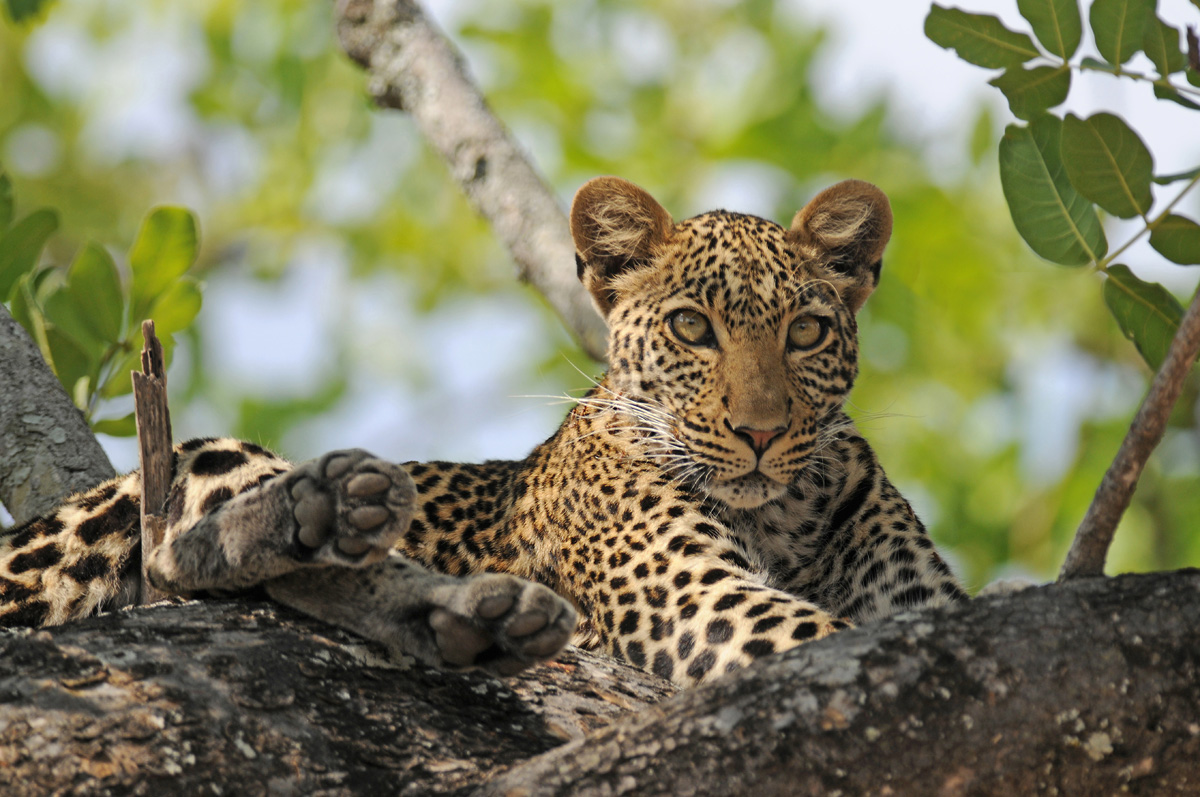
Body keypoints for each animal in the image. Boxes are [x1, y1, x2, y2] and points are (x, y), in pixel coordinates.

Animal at [0, 176, 967, 686]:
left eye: (806, 332)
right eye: (694, 328)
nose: (761, 431)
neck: (782, 516)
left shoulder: (919, 604)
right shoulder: (700, 601)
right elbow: (826, 637)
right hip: (185, 468)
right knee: (180, 548)